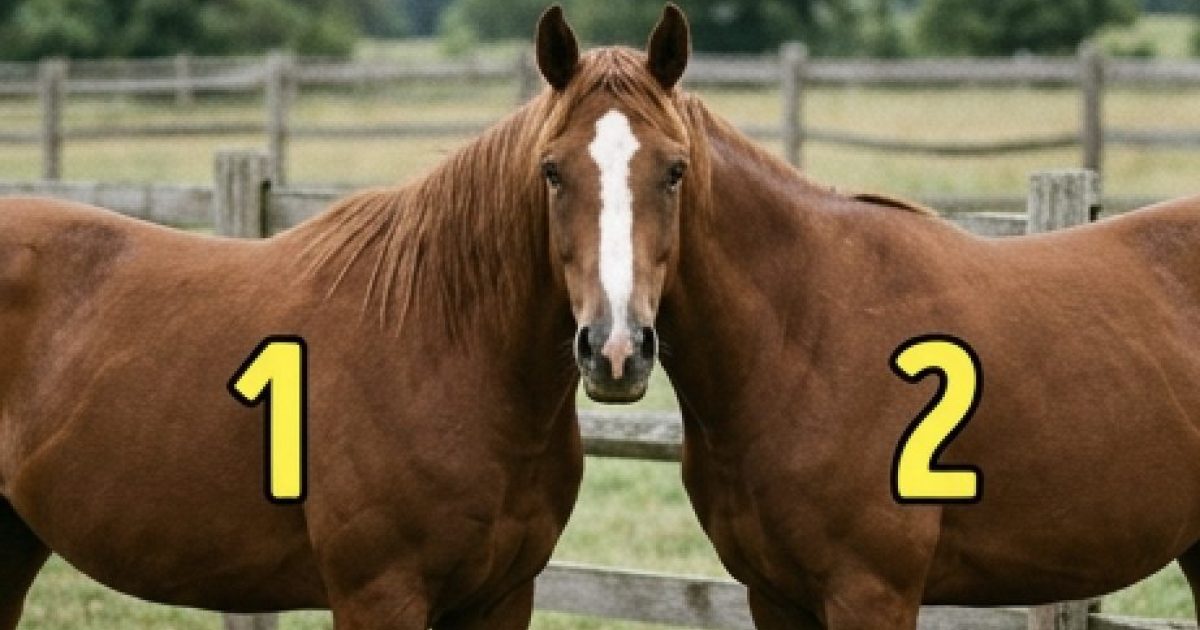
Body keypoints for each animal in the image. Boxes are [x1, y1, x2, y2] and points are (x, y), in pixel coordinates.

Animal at [0, 9, 670, 628]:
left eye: (674, 171)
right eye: (551, 171)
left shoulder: (502, 598)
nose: (615, 350)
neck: (441, 348)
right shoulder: (378, 594)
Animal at [538, 5, 1200, 629]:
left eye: (675, 170)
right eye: (551, 170)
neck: (802, 337)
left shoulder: (871, 594)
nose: (616, 350)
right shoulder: (773, 597)